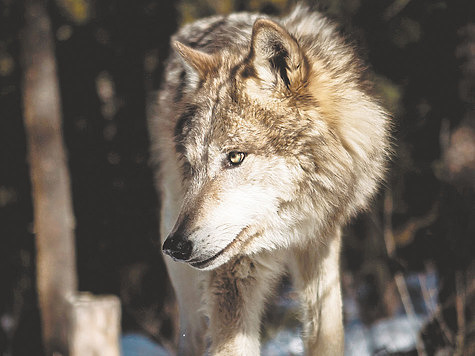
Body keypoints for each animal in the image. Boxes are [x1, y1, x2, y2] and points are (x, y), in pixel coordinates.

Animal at [149, 3, 390, 356]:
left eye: (235, 157)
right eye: (191, 166)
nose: (175, 246)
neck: (285, 231)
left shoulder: (321, 243)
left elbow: (327, 335)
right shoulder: (232, 274)